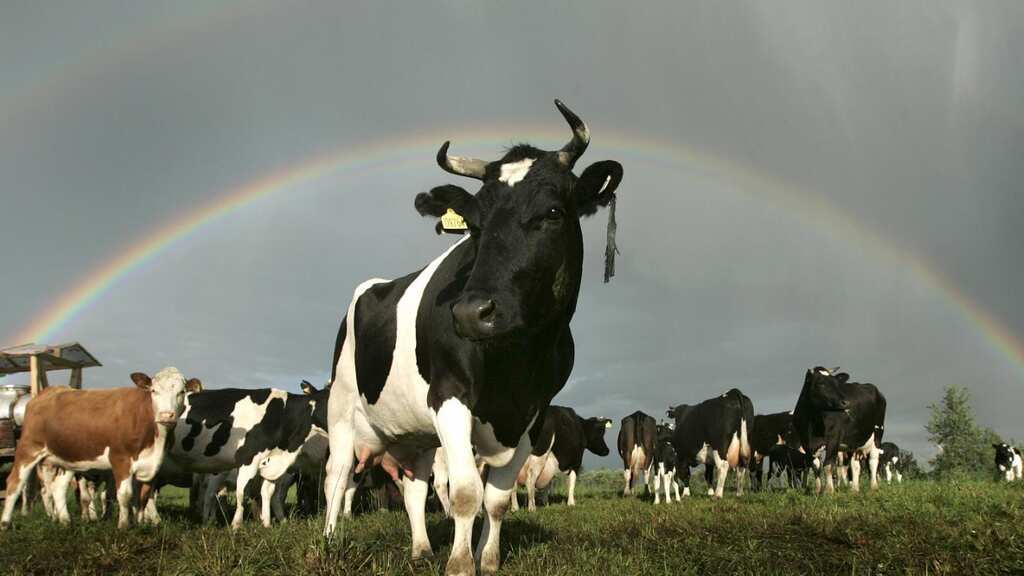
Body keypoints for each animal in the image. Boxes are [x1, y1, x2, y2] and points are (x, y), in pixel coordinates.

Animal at [1, 368, 198, 529]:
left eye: (181, 392)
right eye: (153, 391)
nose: (166, 415)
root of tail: (48, 392)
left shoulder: (152, 466)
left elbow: (142, 496)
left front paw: (140, 524)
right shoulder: (120, 459)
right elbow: (124, 495)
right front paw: (124, 526)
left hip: (67, 458)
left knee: (58, 487)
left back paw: (65, 521)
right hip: (29, 449)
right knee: (15, 483)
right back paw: (6, 523)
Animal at [161, 384, 330, 529]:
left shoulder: (270, 463)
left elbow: (267, 493)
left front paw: (267, 524)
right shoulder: (247, 460)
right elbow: (242, 494)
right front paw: (236, 526)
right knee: (209, 494)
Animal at [321, 100, 624, 576]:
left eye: (553, 212)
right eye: (474, 225)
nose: (469, 312)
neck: (515, 365)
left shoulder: (534, 415)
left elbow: (497, 499)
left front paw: (490, 559)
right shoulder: (449, 394)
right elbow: (466, 492)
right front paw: (461, 564)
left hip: (415, 434)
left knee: (414, 486)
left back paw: (421, 549)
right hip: (341, 407)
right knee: (336, 476)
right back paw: (331, 541)